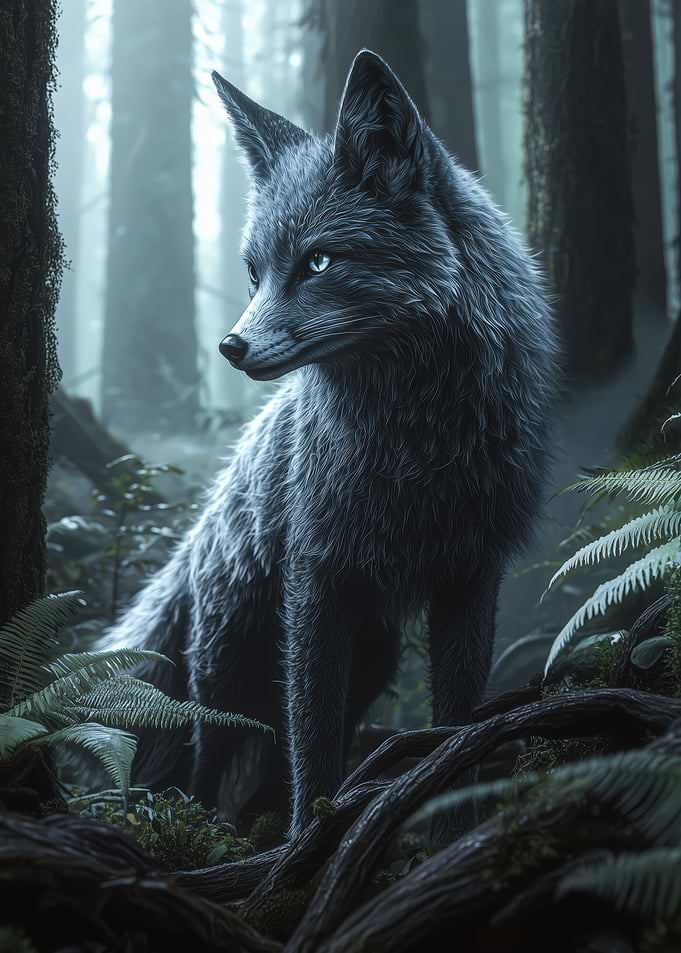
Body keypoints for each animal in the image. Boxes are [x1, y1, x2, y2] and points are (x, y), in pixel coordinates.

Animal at [104, 50, 558, 839]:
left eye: (317, 263)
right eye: (254, 274)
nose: (230, 347)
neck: (419, 446)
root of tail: (200, 525)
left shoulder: (471, 572)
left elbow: (455, 722)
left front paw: (446, 824)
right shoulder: (317, 577)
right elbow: (310, 744)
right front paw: (305, 841)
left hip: (370, 660)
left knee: (269, 761)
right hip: (229, 669)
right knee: (207, 759)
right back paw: (208, 832)